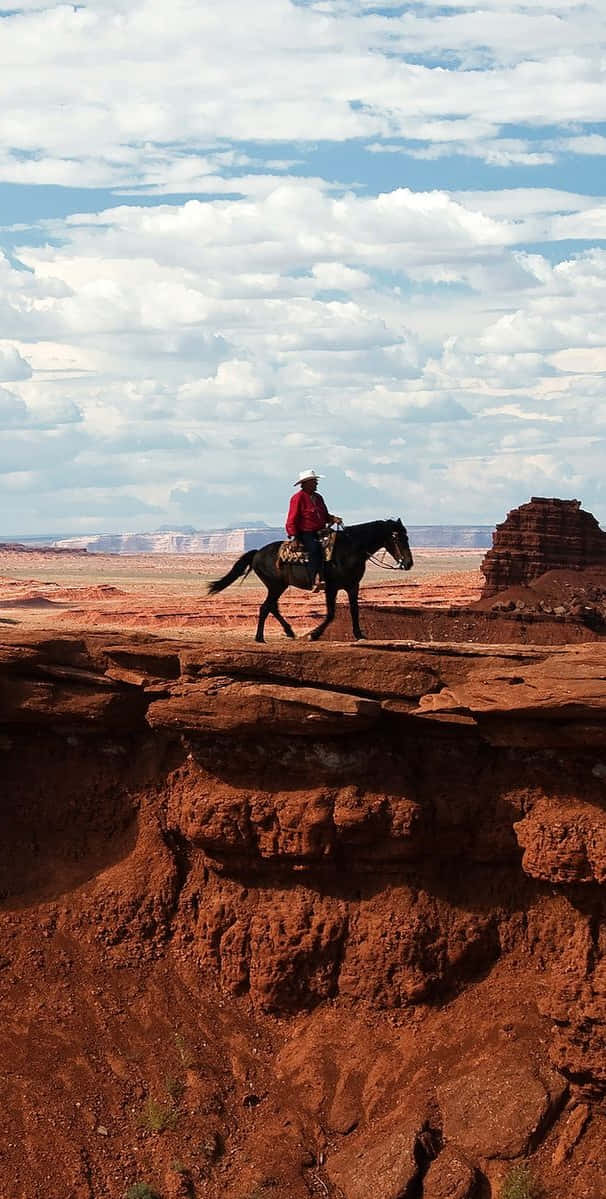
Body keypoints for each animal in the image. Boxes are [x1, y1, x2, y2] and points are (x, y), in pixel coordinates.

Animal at [206, 517, 410, 642]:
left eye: (407, 536)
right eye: (397, 537)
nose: (409, 563)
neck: (350, 550)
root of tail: (257, 553)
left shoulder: (353, 586)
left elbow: (354, 611)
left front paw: (359, 635)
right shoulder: (331, 587)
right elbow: (331, 614)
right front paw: (314, 635)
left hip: (277, 586)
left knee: (272, 607)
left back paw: (288, 631)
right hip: (276, 586)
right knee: (265, 607)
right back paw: (260, 638)